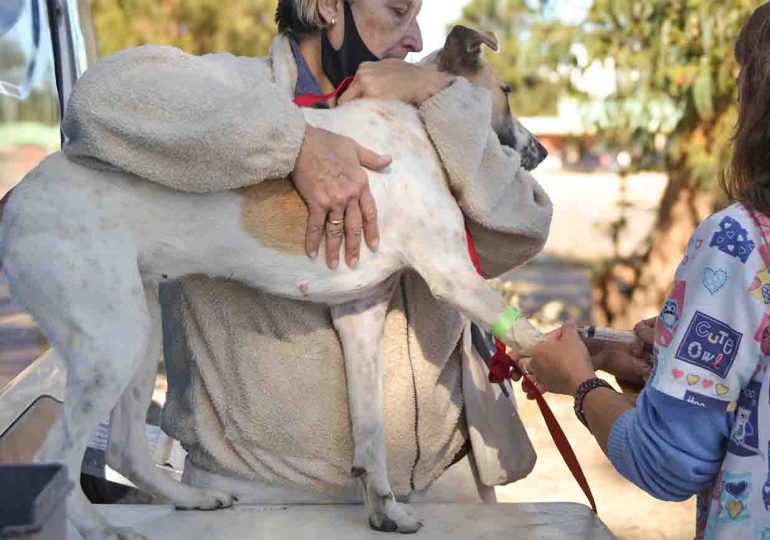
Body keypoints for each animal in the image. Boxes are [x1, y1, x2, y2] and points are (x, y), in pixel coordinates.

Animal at [0, 26, 544, 540]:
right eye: (506, 91)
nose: (539, 151)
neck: (413, 122)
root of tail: (15, 196)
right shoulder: (452, 274)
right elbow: (531, 334)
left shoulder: (360, 314)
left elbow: (370, 431)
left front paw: (385, 510)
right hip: (111, 343)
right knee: (56, 457)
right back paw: (102, 529)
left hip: (138, 329)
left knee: (124, 447)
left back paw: (194, 499)